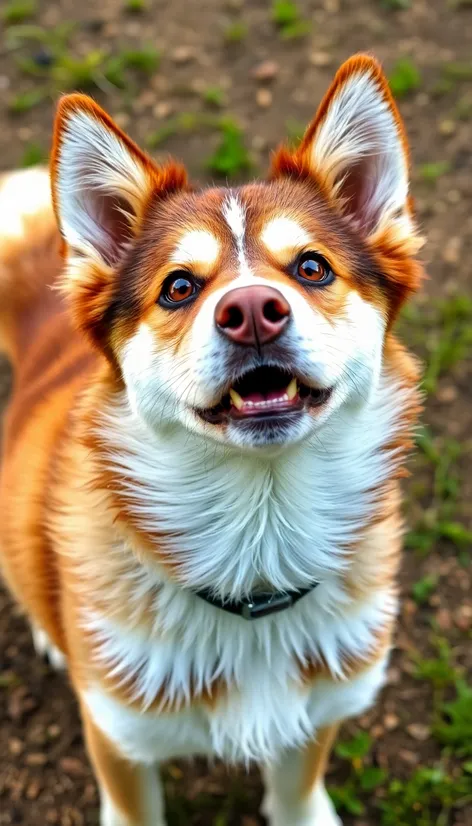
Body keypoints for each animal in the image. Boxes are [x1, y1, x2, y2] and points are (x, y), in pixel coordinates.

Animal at [0, 54, 420, 820]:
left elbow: (298, 789)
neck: (259, 549)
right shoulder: (119, 736)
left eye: (311, 267)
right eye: (178, 287)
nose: (252, 310)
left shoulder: (321, 708)